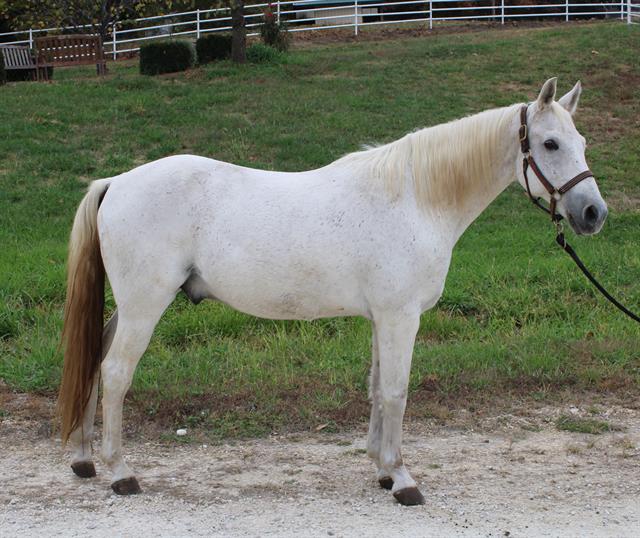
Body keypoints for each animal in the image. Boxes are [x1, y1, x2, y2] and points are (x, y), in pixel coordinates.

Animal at [58, 78, 604, 502]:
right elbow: (397, 391)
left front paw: (382, 471)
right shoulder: (401, 317)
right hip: (144, 305)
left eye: (580, 140)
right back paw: (121, 472)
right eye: (550, 144)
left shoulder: (384, 317)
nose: (593, 214)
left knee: (94, 358)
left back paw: (85, 460)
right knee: (115, 372)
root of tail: (117, 181)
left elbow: (378, 388)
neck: (416, 199)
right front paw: (403, 480)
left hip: (128, 307)